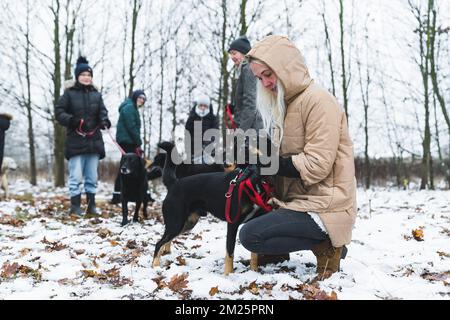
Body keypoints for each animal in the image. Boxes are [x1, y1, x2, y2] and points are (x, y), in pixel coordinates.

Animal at [153, 142, 268, 276]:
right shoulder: (232, 223)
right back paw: (155, 266)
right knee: (159, 243)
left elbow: (254, 253)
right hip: (176, 222)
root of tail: (174, 184)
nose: (245, 147)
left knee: (166, 240)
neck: (252, 181)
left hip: (187, 223)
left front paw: (254, 271)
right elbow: (230, 252)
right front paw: (228, 275)